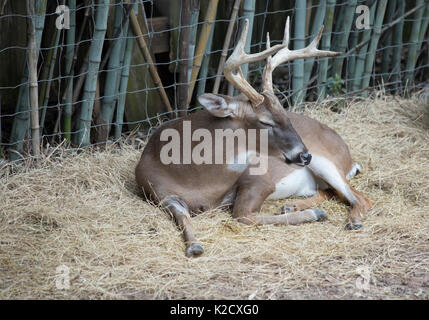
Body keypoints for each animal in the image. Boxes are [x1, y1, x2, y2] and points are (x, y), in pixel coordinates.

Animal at [135, 18, 370, 258]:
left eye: (285, 113)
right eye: (266, 122)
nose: (305, 155)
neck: (196, 177)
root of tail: (350, 158)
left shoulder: (260, 177)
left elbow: (242, 215)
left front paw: (316, 214)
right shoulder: (161, 194)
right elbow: (183, 216)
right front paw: (195, 246)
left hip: (326, 162)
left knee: (360, 196)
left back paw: (352, 221)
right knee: (330, 192)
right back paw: (294, 205)